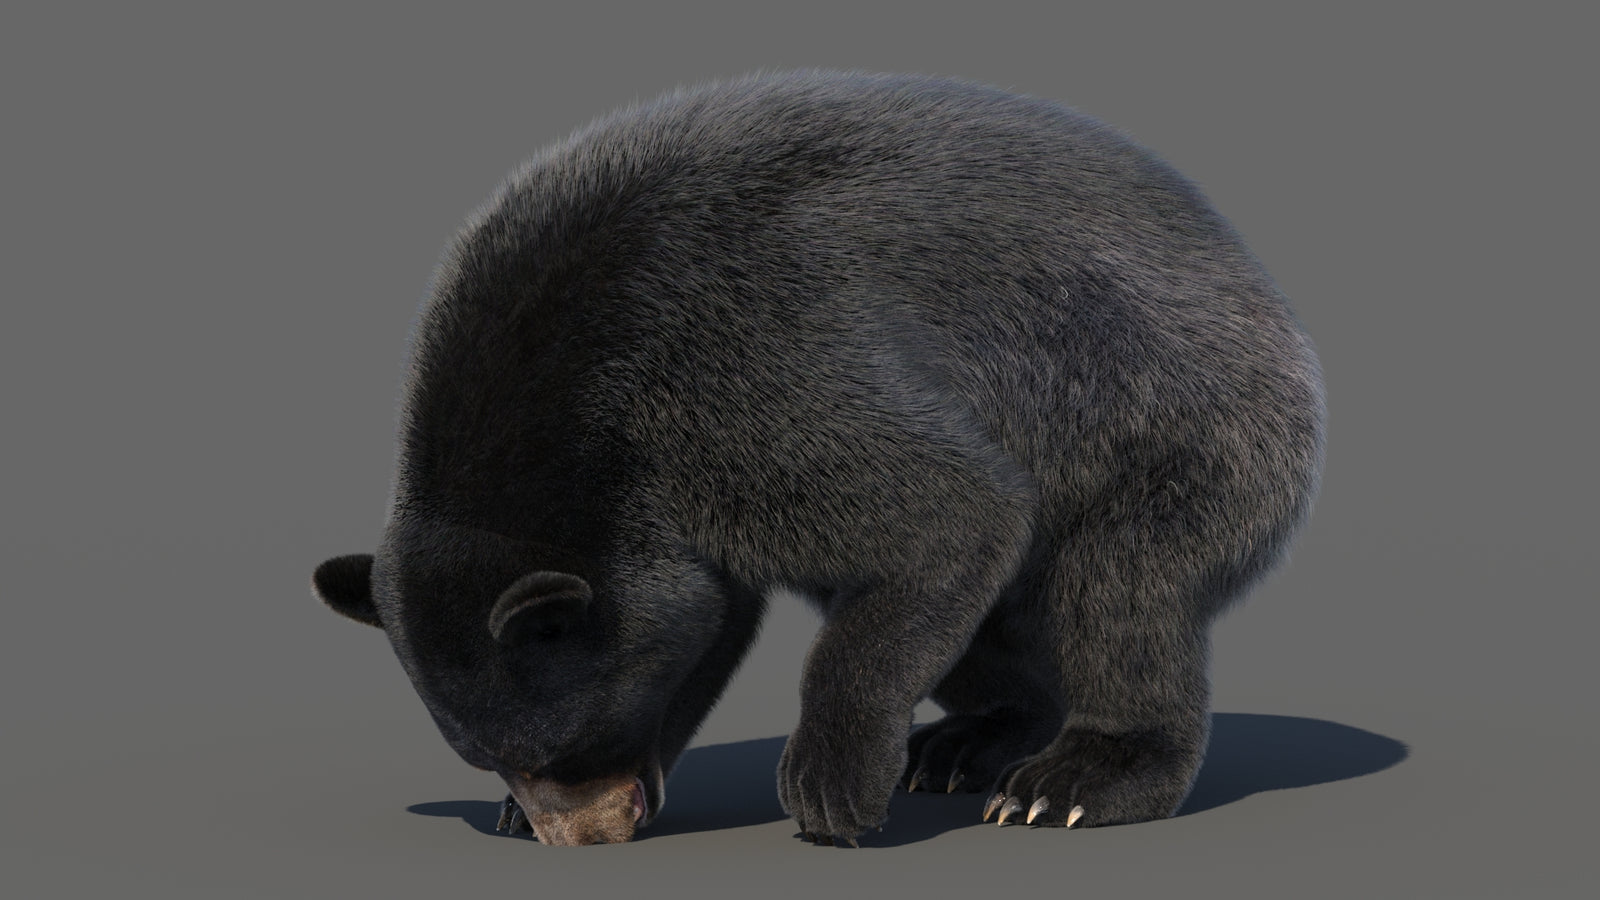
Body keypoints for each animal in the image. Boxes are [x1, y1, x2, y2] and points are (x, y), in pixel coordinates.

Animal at [312, 70, 1325, 847]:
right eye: (490, 754)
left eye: (563, 743)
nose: (587, 834)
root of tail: (1261, 283)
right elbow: (721, 613)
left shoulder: (741, 374)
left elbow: (952, 511)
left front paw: (829, 784)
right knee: (988, 629)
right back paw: (967, 741)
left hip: (1175, 424)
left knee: (1122, 595)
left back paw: (1069, 780)